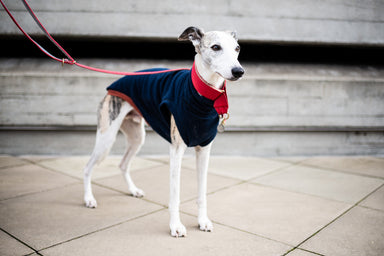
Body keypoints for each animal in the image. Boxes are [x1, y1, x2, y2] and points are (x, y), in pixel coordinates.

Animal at [83, 27, 244, 237]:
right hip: (106, 137)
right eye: (216, 47)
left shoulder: (204, 150)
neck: (202, 95)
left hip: (137, 138)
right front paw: (176, 226)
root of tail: (117, 81)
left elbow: (202, 192)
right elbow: (175, 195)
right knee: (87, 167)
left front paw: (203, 221)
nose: (239, 71)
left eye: (237, 48)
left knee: (123, 164)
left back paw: (133, 190)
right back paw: (89, 199)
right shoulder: (176, 151)